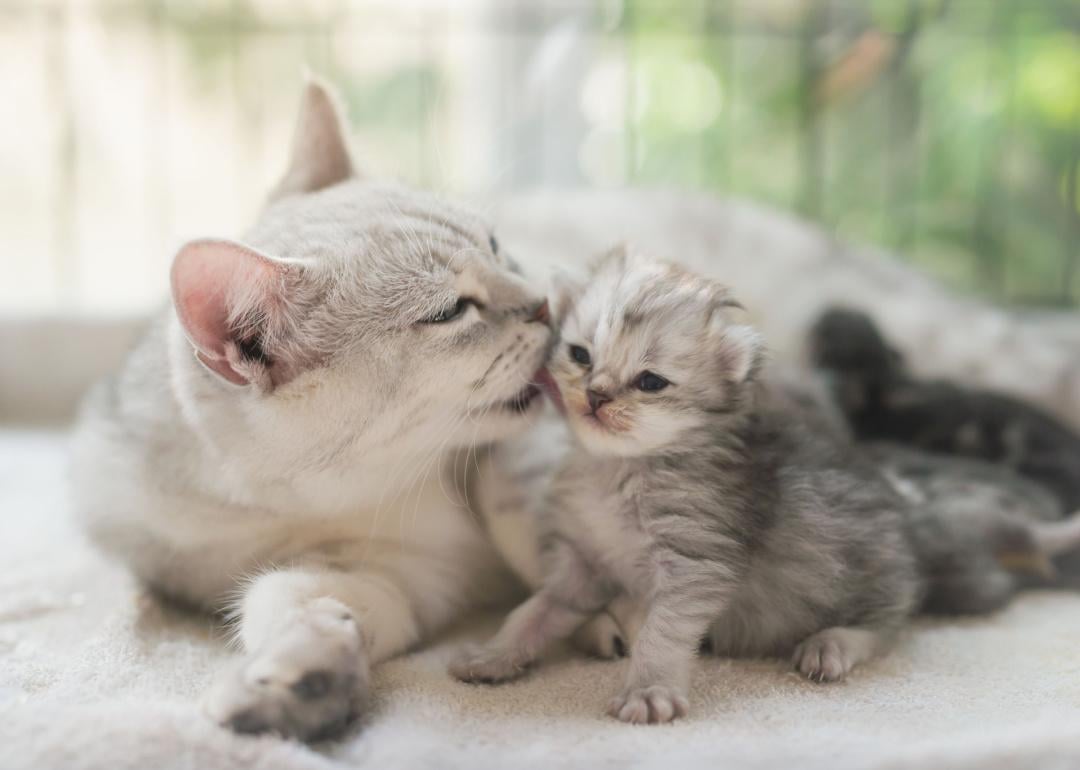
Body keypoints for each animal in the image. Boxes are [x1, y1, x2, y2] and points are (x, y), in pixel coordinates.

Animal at [447, 246, 920, 721]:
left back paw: (831, 644)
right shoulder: (582, 564)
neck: (618, 472)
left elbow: (662, 631)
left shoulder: (695, 563)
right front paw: (495, 654)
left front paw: (649, 690)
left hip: (863, 575)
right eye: (580, 355)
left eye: (650, 382)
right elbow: (534, 610)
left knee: (887, 627)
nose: (597, 395)